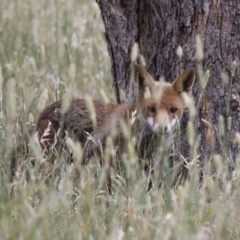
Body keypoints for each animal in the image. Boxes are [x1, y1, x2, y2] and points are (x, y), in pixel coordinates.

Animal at [36, 64, 197, 194]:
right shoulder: (111, 160)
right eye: (151, 109)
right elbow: (112, 190)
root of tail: (44, 112)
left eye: (173, 110)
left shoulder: (150, 166)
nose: (163, 128)